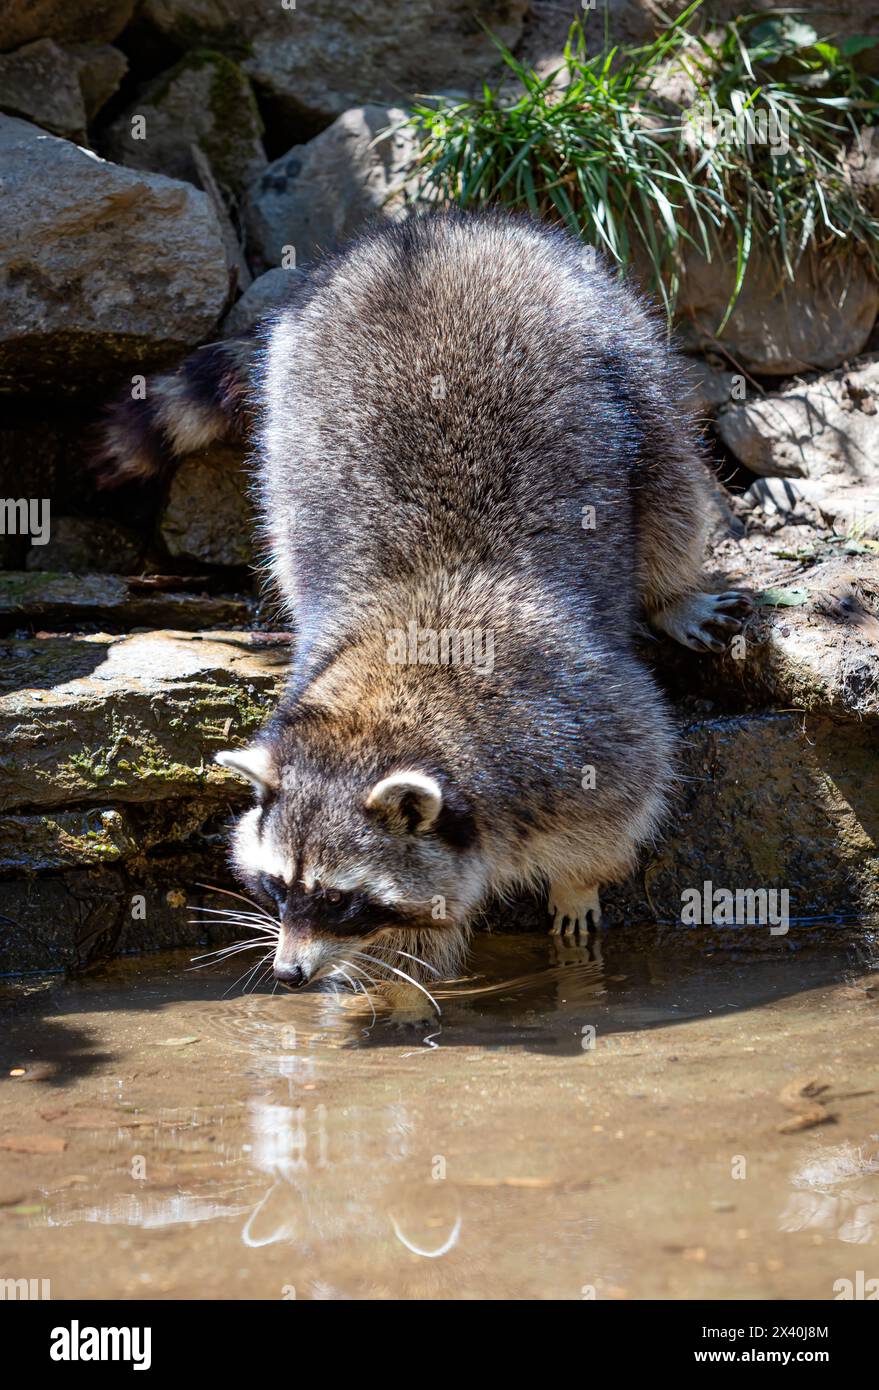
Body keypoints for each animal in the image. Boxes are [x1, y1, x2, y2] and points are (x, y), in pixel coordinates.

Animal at [99, 211, 750, 1009]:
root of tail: (432, 231)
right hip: (287, 400)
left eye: (341, 900)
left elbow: (631, 790)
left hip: (622, 346)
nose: (287, 974)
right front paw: (380, 987)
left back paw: (671, 592)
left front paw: (577, 881)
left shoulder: (582, 729)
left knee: (670, 485)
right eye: (278, 888)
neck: (382, 706)